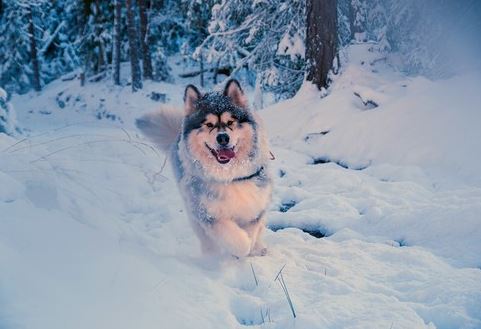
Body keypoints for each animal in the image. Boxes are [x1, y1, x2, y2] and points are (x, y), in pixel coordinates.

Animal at [136, 79, 270, 256]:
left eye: (230, 122)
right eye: (209, 124)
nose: (223, 138)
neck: (229, 176)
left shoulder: (254, 207)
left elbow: (253, 229)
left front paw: (252, 245)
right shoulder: (207, 213)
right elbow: (236, 240)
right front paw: (242, 247)